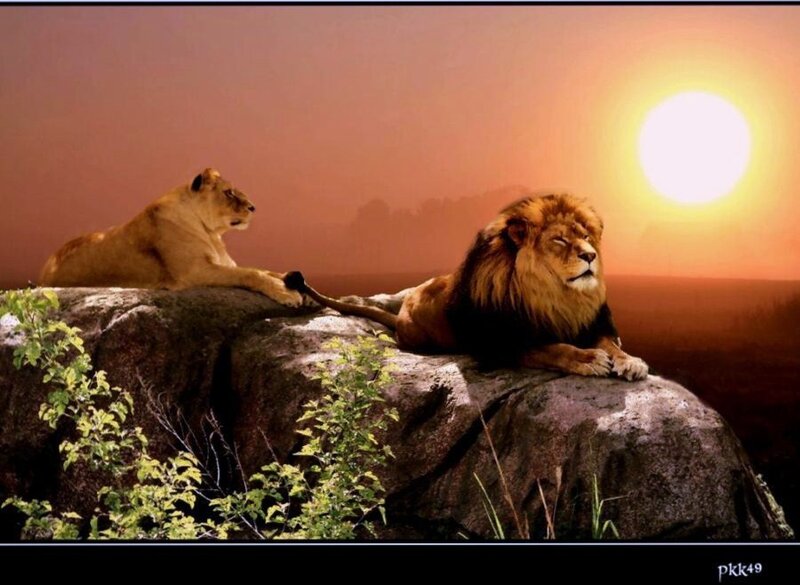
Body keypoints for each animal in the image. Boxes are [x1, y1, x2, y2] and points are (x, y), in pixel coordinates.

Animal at [39, 168, 304, 307]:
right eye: (229, 192)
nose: (253, 207)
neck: (213, 235)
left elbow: (264, 270)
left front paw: (292, 281)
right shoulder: (194, 272)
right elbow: (250, 273)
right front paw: (287, 293)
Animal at [285, 193, 648, 380]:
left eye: (586, 236)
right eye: (559, 239)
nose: (589, 255)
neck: (553, 295)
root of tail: (401, 310)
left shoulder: (592, 322)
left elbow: (610, 343)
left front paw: (629, 361)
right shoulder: (501, 344)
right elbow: (553, 347)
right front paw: (589, 359)